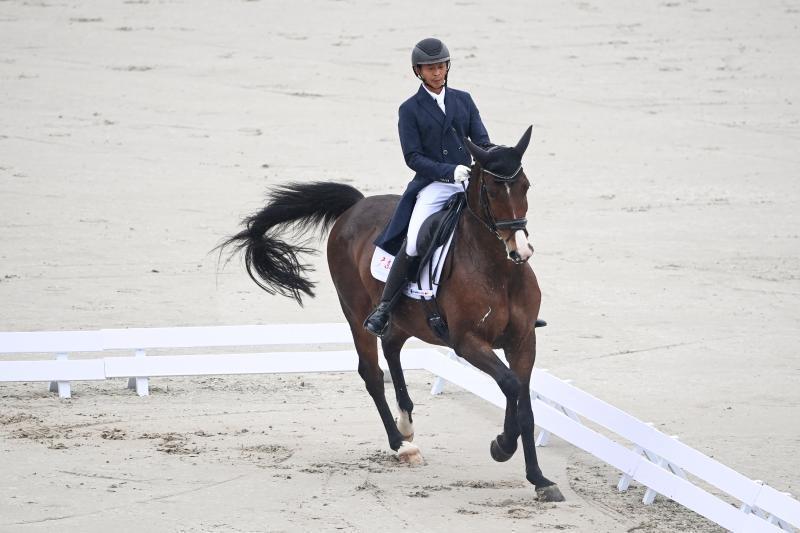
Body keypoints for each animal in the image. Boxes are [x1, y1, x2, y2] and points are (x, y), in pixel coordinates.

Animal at [218, 126, 564, 502]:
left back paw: (406, 422)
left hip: (405, 317)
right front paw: (502, 446)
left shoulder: (523, 340)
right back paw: (402, 444)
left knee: (392, 347)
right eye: (489, 189)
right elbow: (510, 385)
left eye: (525, 185)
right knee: (371, 372)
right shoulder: (467, 342)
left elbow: (524, 403)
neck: (499, 271)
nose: (521, 250)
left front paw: (539, 479)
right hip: (356, 312)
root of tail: (356, 206)